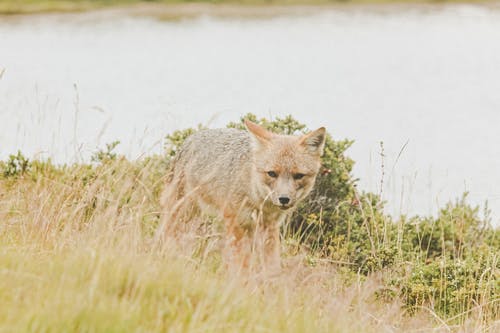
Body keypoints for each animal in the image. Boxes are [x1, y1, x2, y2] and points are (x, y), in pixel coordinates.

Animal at [158, 119, 326, 270]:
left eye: (298, 176)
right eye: (272, 173)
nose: (284, 199)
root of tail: (190, 138)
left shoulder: (270, 227)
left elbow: (272, 264)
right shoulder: (236, 223)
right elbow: (242, 262)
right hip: (182, 212)